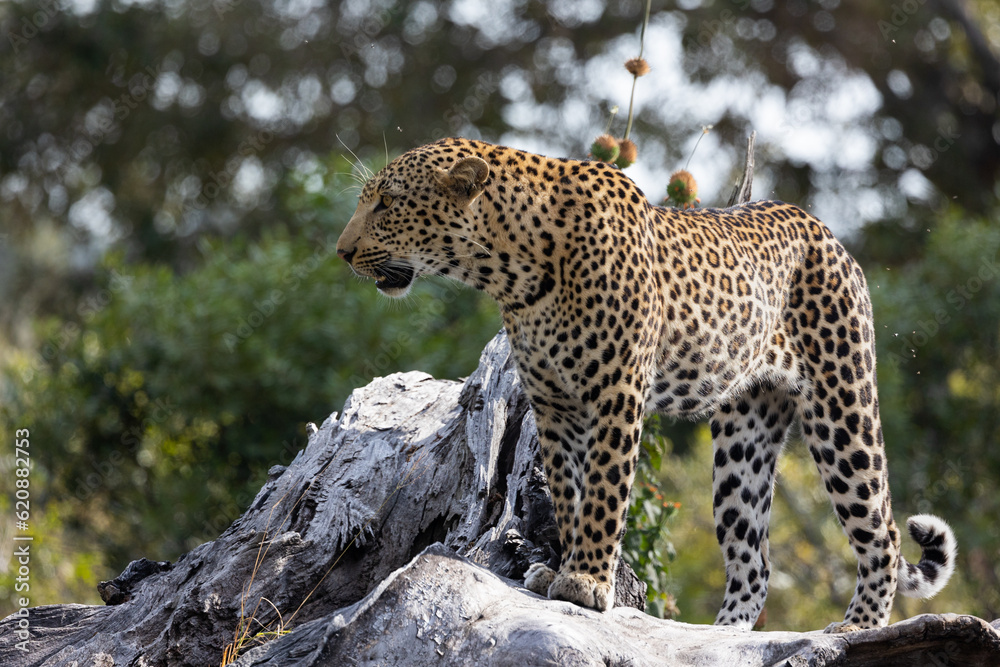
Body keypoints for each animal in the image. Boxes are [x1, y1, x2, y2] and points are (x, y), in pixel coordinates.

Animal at [335, 137, 956, 631]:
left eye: (387, 202)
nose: (342, 252)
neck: (512, 270)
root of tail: (823, 228)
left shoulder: (616, 394)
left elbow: (604, 490)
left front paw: (586, 583)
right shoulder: (554, 406)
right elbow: (569, 493)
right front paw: (562, 570)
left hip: (842, 404)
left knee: (882, 531)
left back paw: (856, 627)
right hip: (745, 439)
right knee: (754, 562)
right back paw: (723, 636)